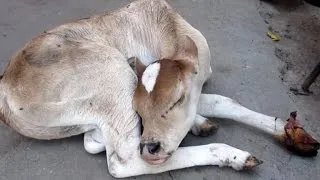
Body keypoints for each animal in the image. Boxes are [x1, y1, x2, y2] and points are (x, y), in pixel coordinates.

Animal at [0, 0, 318, 177]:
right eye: (139, 109)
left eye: (177, 100)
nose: (151, 146)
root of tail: (4, 86)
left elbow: (222, 102)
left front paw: (291, 132)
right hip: (114, 73)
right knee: (124, 161)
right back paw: (231, 154)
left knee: (95, 140)